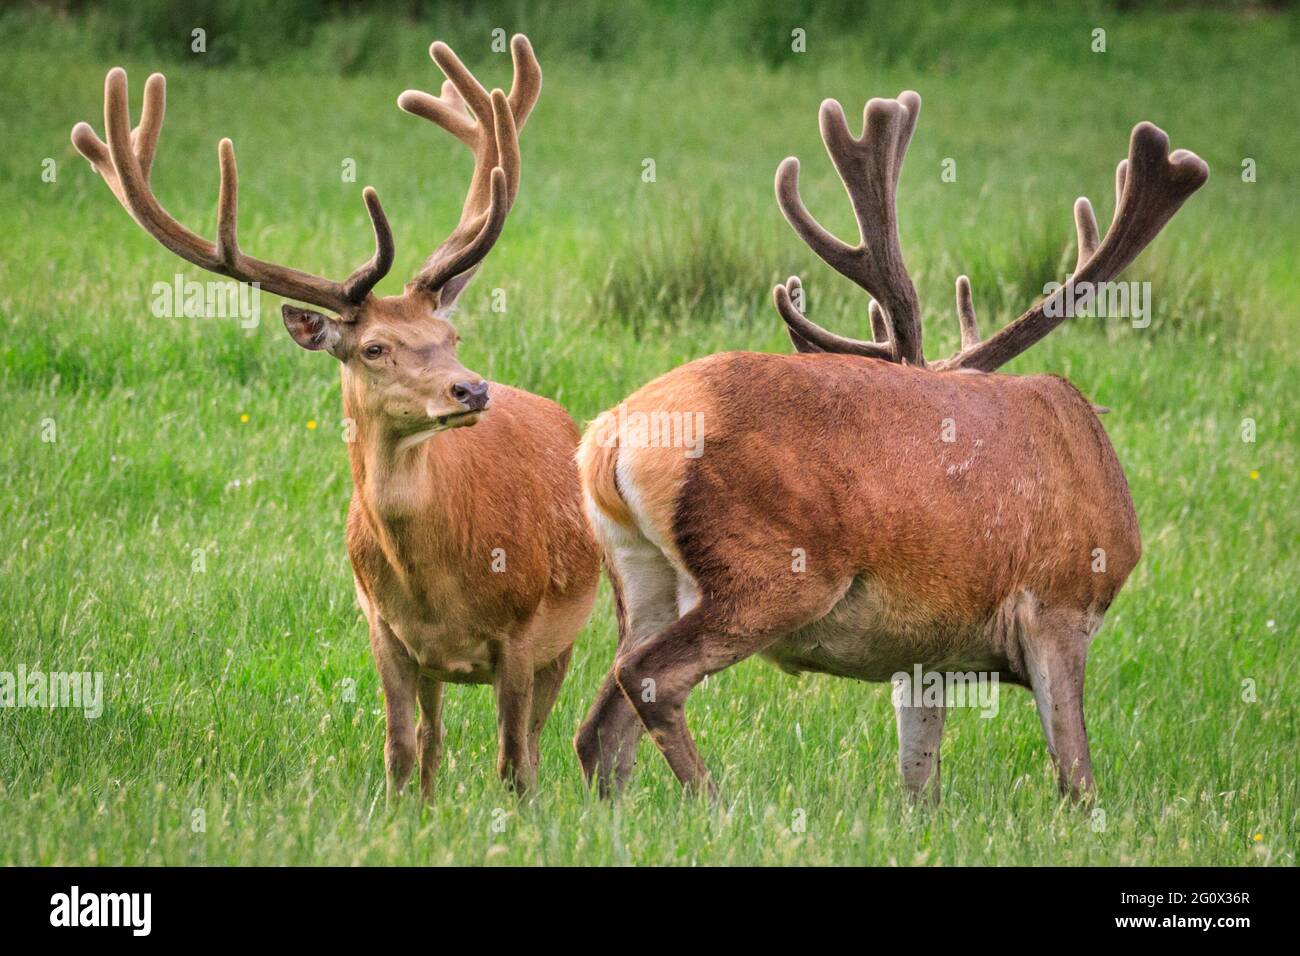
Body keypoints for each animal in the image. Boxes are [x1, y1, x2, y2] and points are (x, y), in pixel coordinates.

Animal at [71, 35, 598, 801]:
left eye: (451, 336)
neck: (436, 579)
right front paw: (401, 813)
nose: (472, 390)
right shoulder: (383, 628)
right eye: (374, 347)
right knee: (435, 741)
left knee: (527, 744)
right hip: (442, 665)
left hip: (571, 624)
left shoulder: (525, 630)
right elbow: (400, 750)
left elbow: (513, 762)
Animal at [579, 93, 1206, 806]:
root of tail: (609, 439)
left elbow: (918, 784)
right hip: (771, 570)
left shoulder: (928, 654)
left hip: (640, 575)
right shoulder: (1061, 604)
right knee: (653, 677)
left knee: (600, 724)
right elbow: (1077, 778)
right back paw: (716, 804)